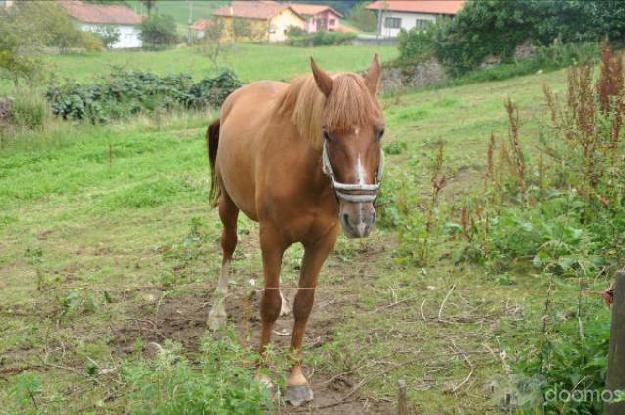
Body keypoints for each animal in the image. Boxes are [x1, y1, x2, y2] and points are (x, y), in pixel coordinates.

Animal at [205, 56, 382, 406]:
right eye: (327, 133)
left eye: (380, 131)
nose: (360, 219)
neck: (308, 178)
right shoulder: (272, 238)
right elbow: (268, 306)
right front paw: (261, 376)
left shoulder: (321, 243)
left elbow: (304, 305)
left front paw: (295, 379)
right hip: (229, 207)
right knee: (228, 246)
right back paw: (216, 313)